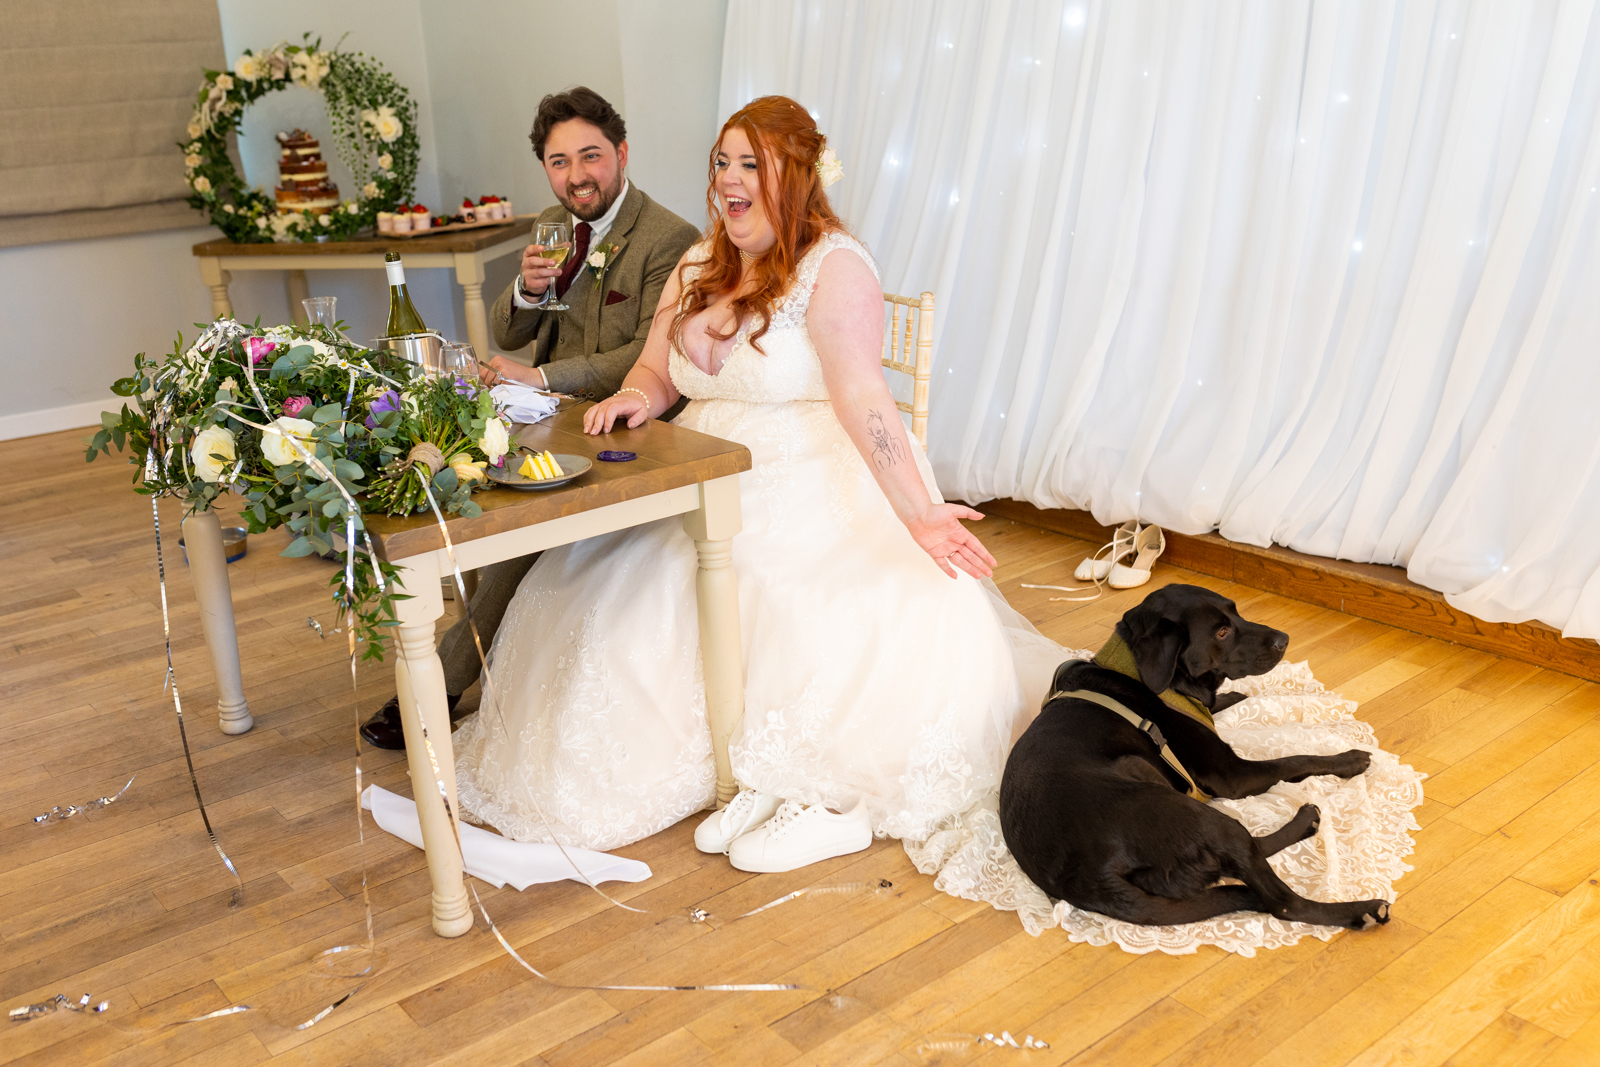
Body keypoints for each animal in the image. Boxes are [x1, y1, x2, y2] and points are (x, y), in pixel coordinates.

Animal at [999, 584, 1391, 930]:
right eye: (1221, 631)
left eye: (1237, 613)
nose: (1284, 640)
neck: (1145, 675)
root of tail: (1089, 881)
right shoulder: (1232, 775)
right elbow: (1295, 759)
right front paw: (1348, 759)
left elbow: (1216, 702)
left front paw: (1229, 697)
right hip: (1193, 811)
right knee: (1279, 899)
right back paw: (1360, 908)